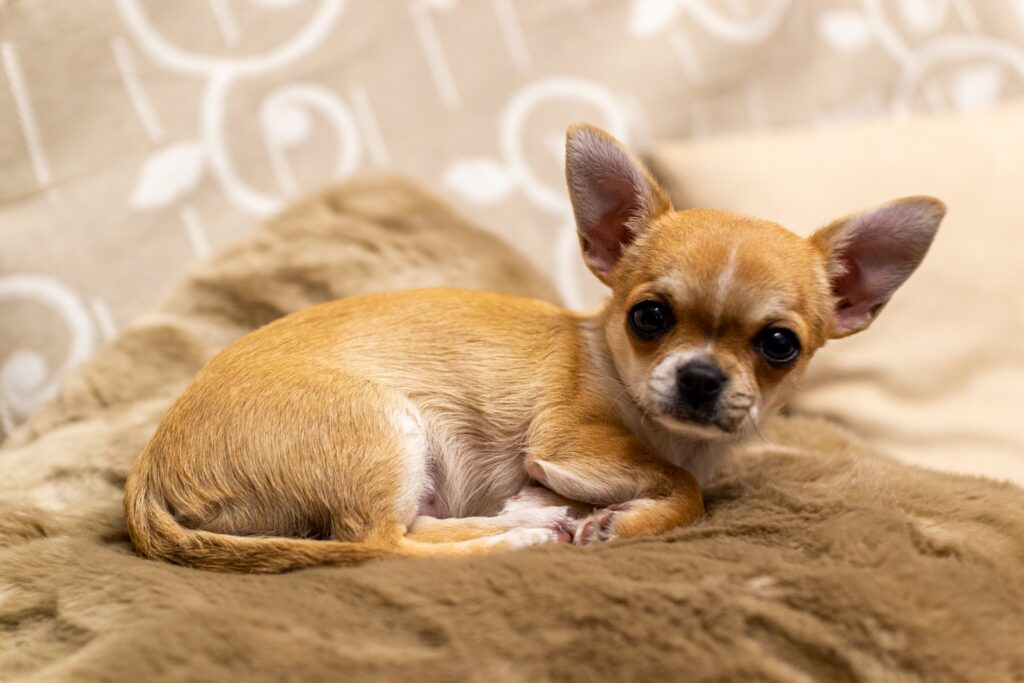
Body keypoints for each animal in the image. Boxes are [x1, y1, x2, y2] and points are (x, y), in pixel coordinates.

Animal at [121, 122, 942, 573]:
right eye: (649, 317)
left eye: (779, 344)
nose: (702, 377)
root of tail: (147, 477)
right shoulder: (568, 439)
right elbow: (687, 489)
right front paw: (623, 519)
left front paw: (575, 507)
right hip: (387, 427)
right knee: (379, 543)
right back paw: (519, 540)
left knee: (411, 528)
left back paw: (524, 520)